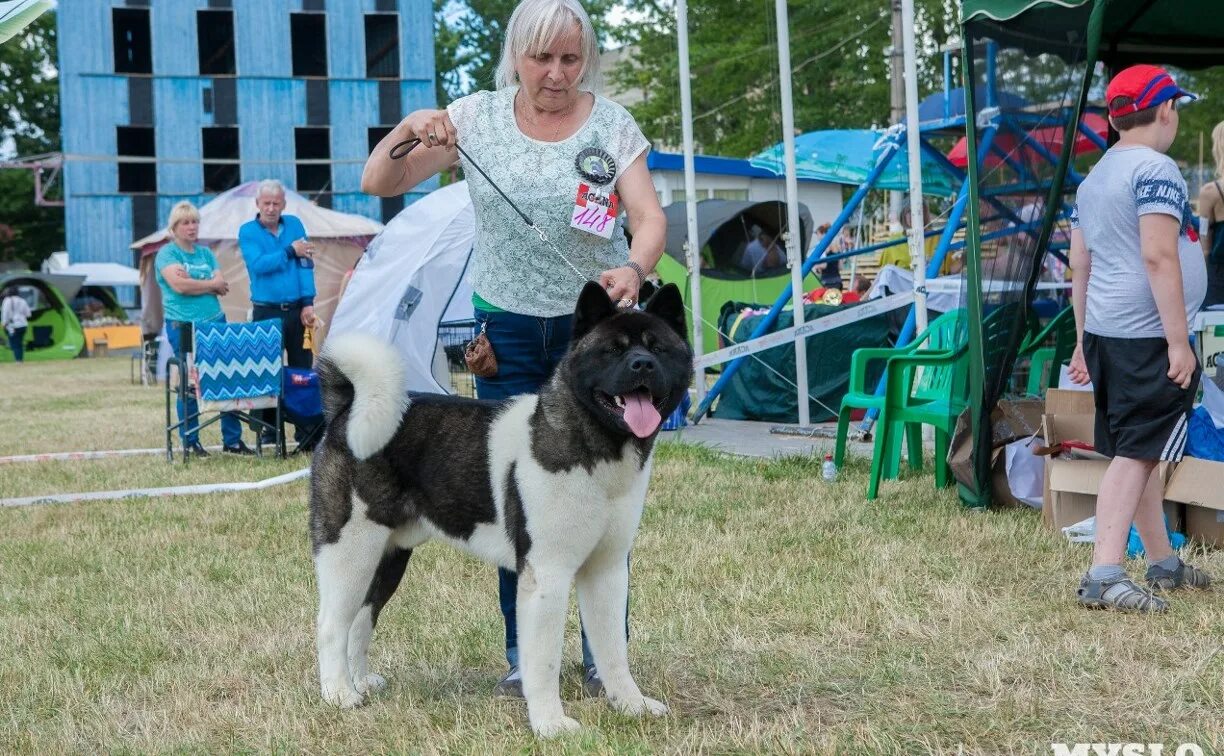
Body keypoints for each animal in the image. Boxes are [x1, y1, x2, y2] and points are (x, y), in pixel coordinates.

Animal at [308, 280, 690, 733]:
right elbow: (543, 659)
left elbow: (613, 650)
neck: (597, 444)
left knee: (361, 620)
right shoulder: (546, 574)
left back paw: (361, 682)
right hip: (349, 550)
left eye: (658, 348)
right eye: (612, 351)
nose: (642, 365)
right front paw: (550, 725)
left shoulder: (607, 570)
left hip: (387, 557)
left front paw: (630, 704)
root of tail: (346, 410)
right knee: (332, 625)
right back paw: (338, 694)